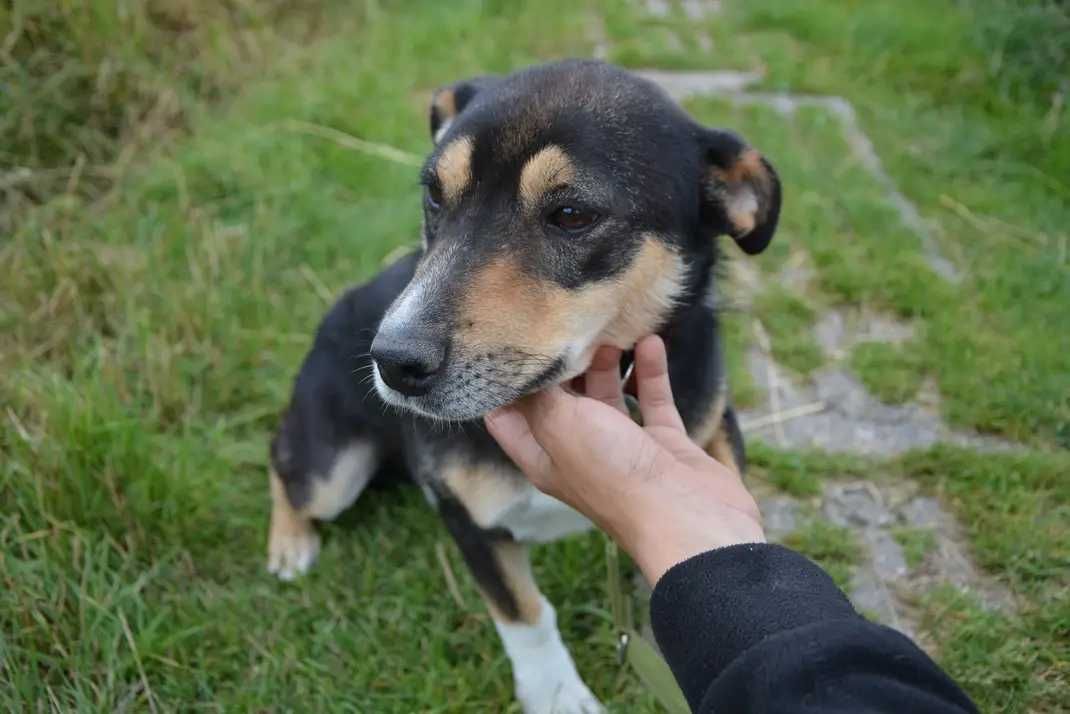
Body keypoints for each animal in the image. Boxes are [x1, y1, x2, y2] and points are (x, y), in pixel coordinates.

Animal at [266, 59, 778, 714]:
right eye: (434, 194)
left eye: (572, 215)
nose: (393, 362)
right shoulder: (467, 518)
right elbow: (526, 615)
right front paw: (558, 694)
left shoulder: (713, 425)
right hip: (332, 473)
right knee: (281, 460)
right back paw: (289, 545)